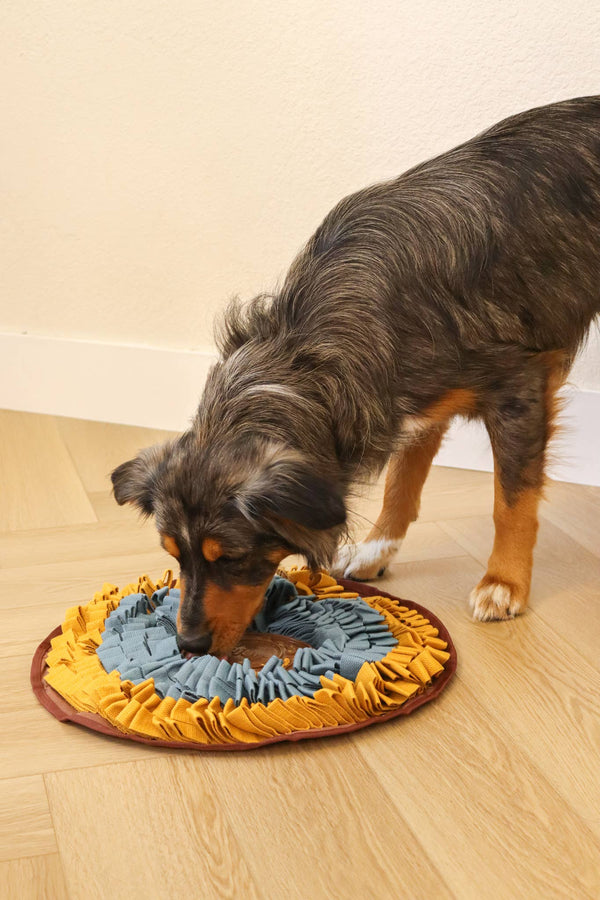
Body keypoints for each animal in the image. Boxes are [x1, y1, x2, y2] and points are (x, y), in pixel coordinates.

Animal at [112, 95, 600, 652]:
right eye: (174, 555)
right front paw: (377, 549)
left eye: (231, 557)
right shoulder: (411, 399)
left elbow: (511, 501)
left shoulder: (519, 387)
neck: (305, 348)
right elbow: (402, 480)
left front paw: (504, 582)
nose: (188, 646)